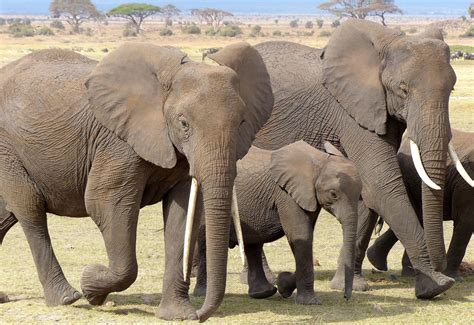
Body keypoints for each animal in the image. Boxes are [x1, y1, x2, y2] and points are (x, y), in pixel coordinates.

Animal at [0, 40, 274, 318]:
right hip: (8, 151)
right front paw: (91, 286)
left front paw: (177, 315)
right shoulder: (117, 143)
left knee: (5, 217)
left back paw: (5, 298)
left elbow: (182, 214)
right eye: (184, 124)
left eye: (242, 122)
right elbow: (105, 202)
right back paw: (67, 297)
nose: (200, 315)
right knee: (30, 210)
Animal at [194, 140, 362, 302]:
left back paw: (263, 293)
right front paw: (309, 302)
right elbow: (301, 235)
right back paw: (202, 294)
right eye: (333, 194)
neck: (318, 161)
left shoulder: (307, 196)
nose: (346, 297)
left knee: (253, 244)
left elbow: (303, 237)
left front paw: (283, 285)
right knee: (205, 243)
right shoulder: (286, 194)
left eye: (360, 194)